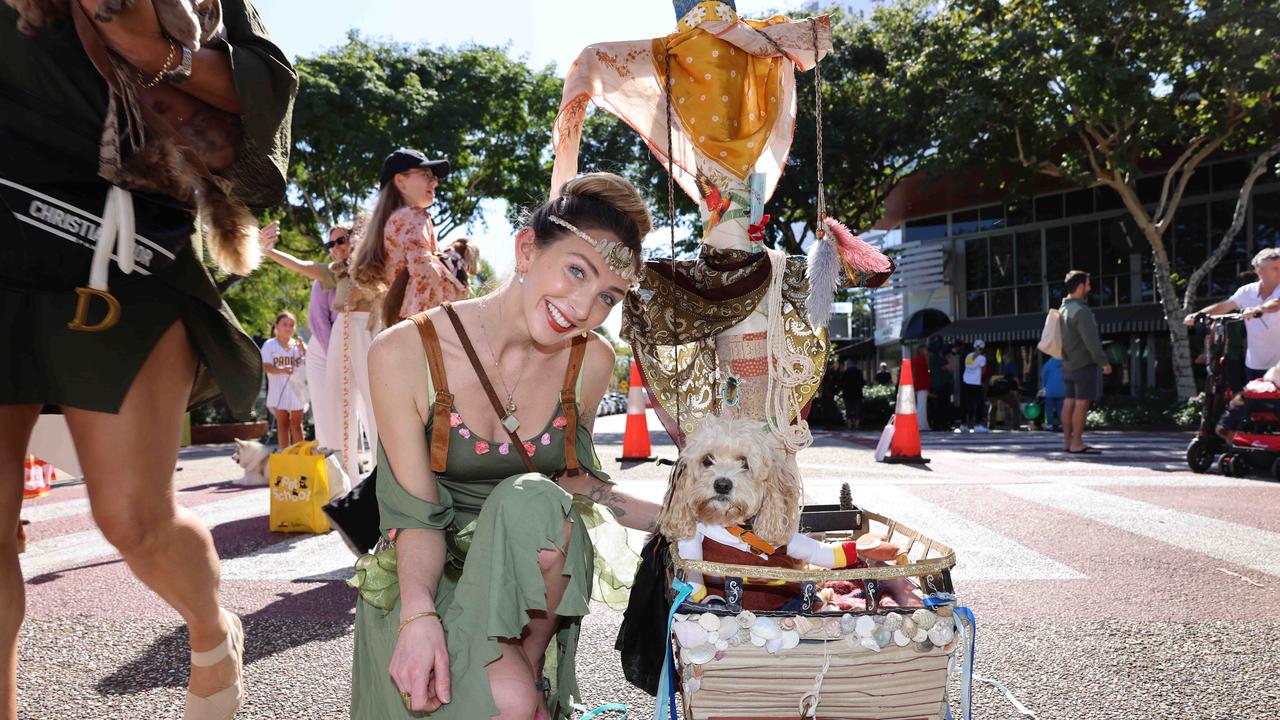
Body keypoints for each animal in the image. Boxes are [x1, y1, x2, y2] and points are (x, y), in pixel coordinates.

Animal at [655, 412, 906, 607]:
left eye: (744, 462)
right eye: (707, 460)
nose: (722, 484)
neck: (738, 529)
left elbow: (814, 550)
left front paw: (853, 551)